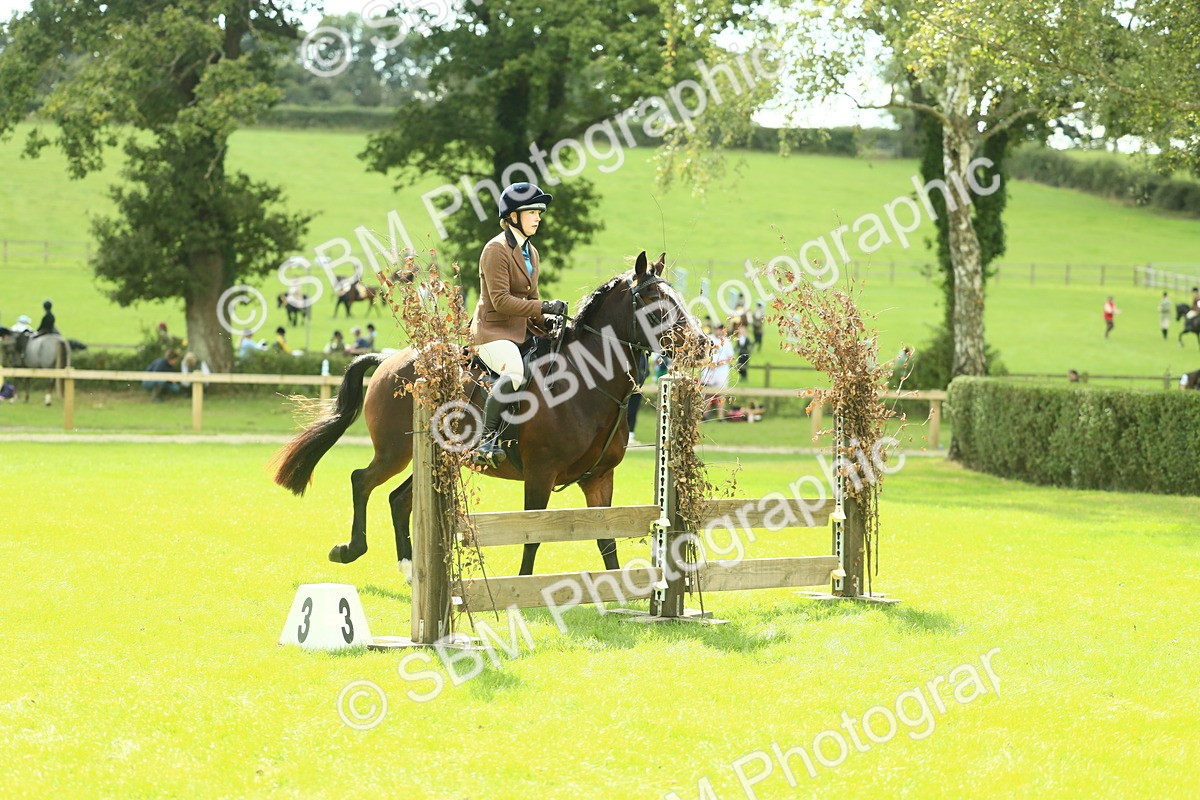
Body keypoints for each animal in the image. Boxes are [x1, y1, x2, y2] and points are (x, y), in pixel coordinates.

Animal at [270, 251, 697, 577]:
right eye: (657, 306)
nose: (701, 342)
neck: (587, 383)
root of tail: (391, 359)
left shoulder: (599, 479)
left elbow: (606, 538)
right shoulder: (540, 474)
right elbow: (532, 535)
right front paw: (524, 589)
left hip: (438, 459)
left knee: (399, 499)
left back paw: (410, 568)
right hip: (396, 451)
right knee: (362, 481)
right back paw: (351, 549)